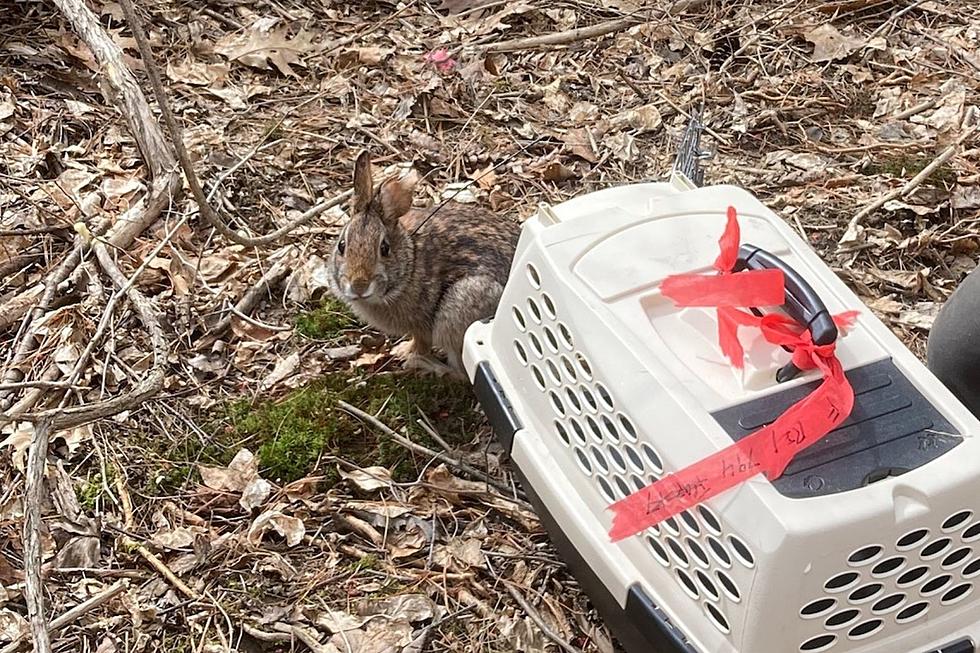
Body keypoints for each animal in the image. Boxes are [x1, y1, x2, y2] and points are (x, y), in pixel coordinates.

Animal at [328, 151, 520, 380]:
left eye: (384, 248)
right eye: (341, 246)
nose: (359, 286)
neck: (410, 262)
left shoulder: (422, 326)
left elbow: (421, 343)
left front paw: (406, 354)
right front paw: (401, 350)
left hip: (461, 310)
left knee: (461, 374)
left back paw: (426, 365)